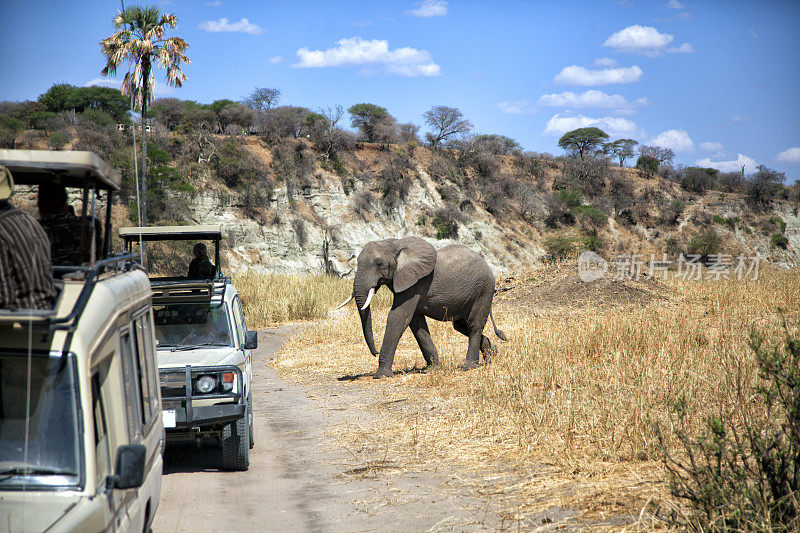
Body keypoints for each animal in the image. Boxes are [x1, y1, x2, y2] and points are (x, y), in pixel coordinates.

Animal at [332, 235, 506, 376]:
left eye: (379, 264)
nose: (375, 352)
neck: (396, 244)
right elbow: (415, 322)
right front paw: (432, 369)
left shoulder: (414, 284)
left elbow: (398, 317)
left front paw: (381, 375)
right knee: (462, 326)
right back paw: (491, 356)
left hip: (483, 290)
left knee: (474, 325)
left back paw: (470, 366)